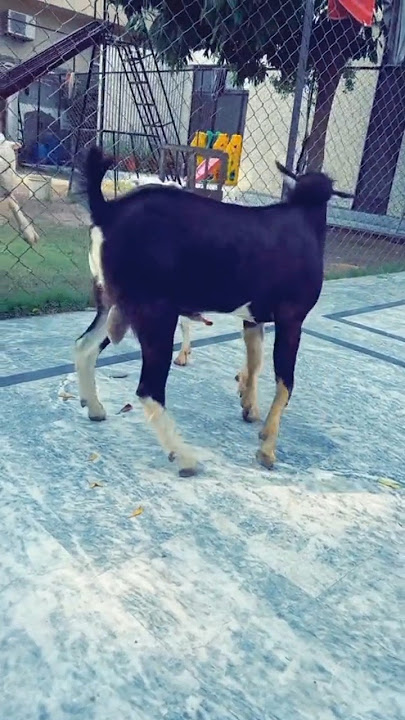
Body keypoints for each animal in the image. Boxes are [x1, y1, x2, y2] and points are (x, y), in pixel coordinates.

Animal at [78, 145, 352, 476]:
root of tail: (107, 212)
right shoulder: (292, 317)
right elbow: (285, 381)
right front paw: (267, 449)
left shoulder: (253, 318)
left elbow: (255, 361)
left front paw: (250, 408)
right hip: (155, 312)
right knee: (148, 389)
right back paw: (185, 458)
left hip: (110, 302)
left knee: (84, 346)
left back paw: (95, 408)